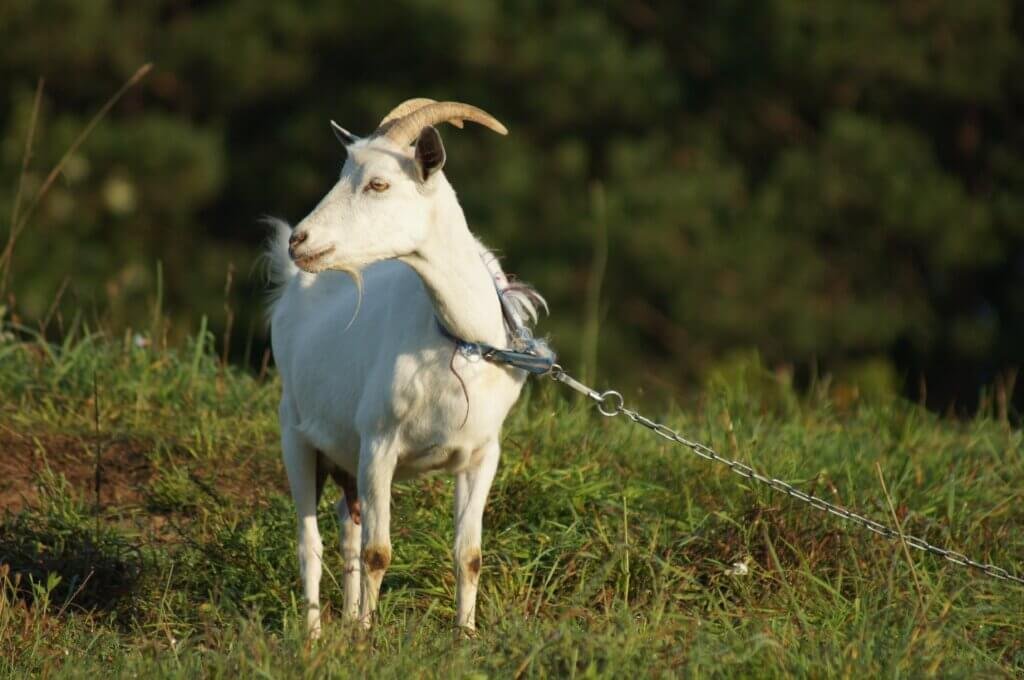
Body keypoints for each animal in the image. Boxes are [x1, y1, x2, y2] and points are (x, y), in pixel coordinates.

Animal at [268, 98, 548, 634]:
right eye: (344, 173)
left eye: (379, 183)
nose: (300, 240)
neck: (460, 338)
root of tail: (293, 282)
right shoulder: (379, 444)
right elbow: (379, 552)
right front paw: (367, 637)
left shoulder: (483, 453)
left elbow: (469, 555)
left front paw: (466, 634)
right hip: (296, 433)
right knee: (309, 543)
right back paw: (314, 635)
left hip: (344, 457)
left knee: (347, 529)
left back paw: (344, 619)